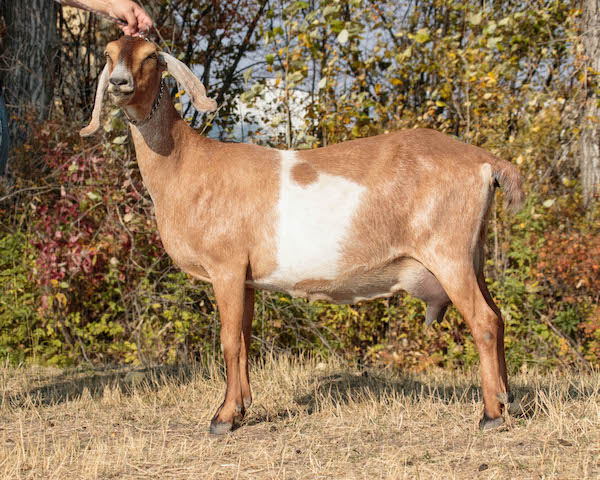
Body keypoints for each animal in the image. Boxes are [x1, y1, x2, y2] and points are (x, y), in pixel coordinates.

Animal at [81, 36, 524, 436]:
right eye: (109, 54)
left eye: (150, 55)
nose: (119, 82)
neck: (187, 164)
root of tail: (486, 162)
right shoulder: (246, 277)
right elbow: (244, 338)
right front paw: (241, 408)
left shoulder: (226, 266)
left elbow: (228, 341)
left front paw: (222, 418)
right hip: (473, 255)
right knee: (499, 317)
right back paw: (507, 401)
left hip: (448, 252)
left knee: (484, 321)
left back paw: (490, 415)